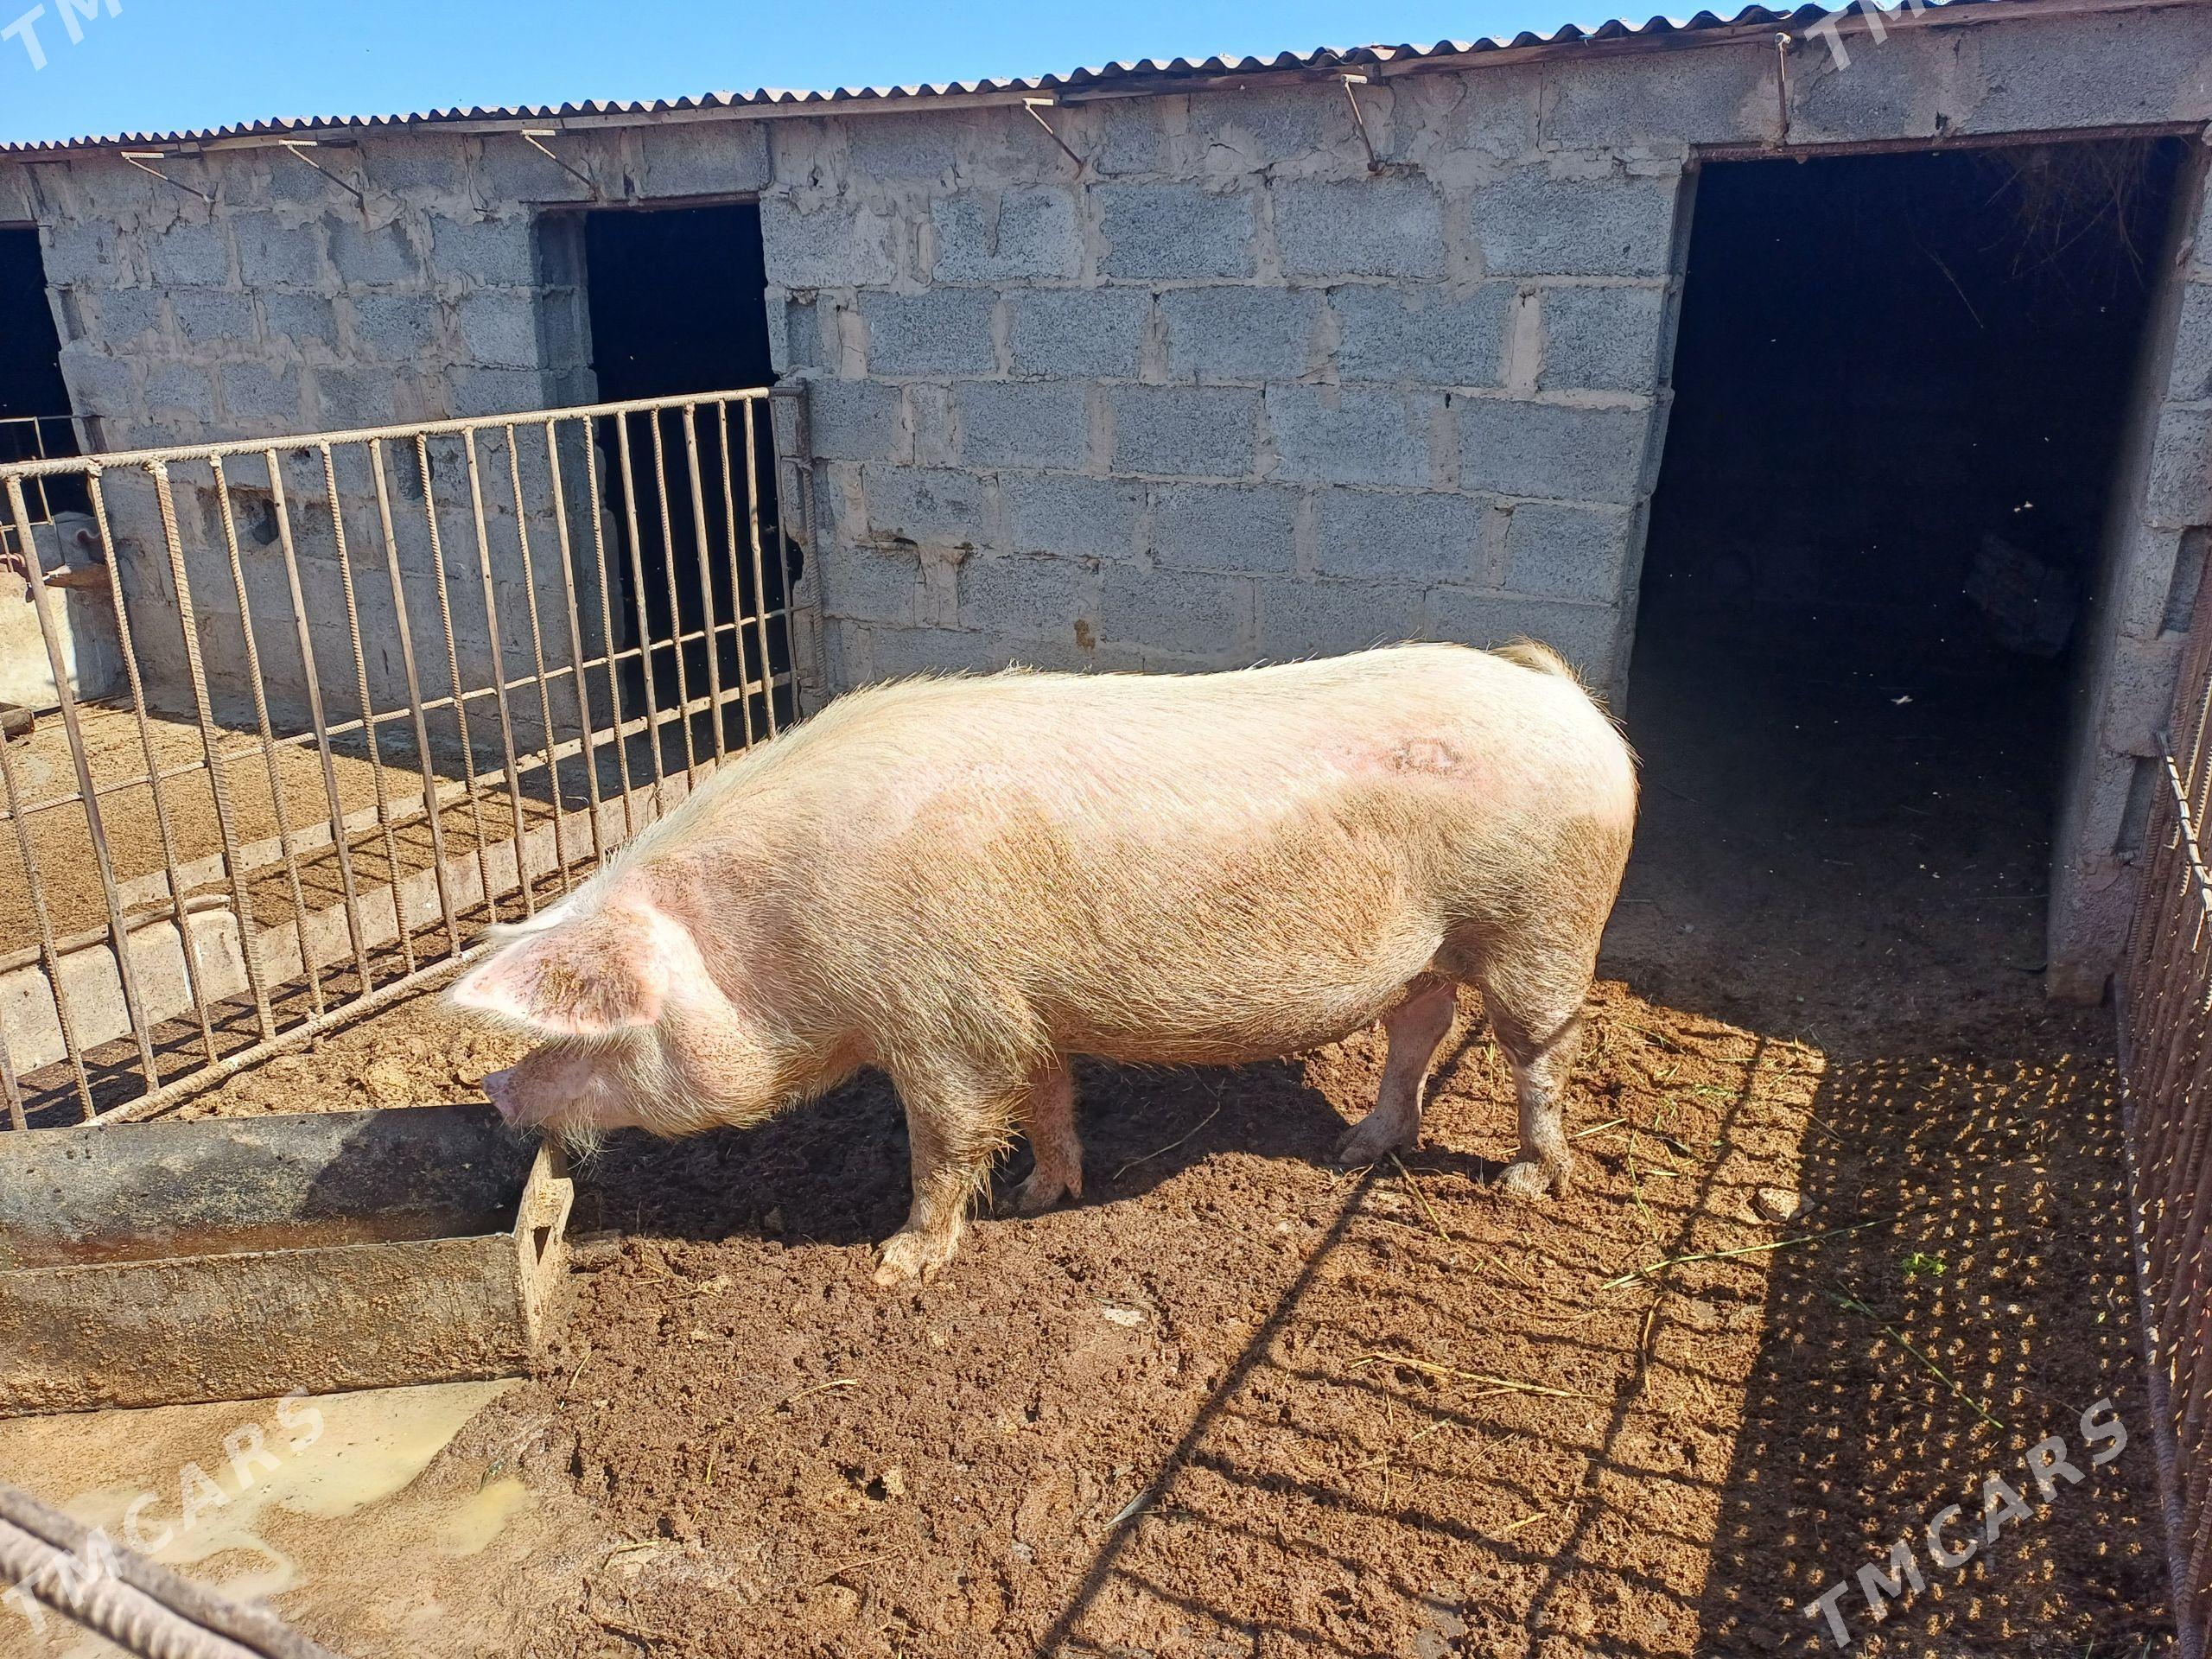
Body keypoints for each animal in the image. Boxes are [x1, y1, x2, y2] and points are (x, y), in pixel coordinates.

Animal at [451, 640, 1637, 1283]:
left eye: (587, 1028)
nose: (494, 1087)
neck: (774, 939)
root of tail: (1562, 696)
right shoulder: (1019, 1006)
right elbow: (1049, 1094)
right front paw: (1040, 1199)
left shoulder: (939, 1017)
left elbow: (942, 1139)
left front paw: (897, 1267)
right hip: (1432, 949)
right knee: (1419, 1028)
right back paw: (1356, 1149)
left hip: (1543, 922)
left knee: (1539, 1054)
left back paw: (1527, 1182)